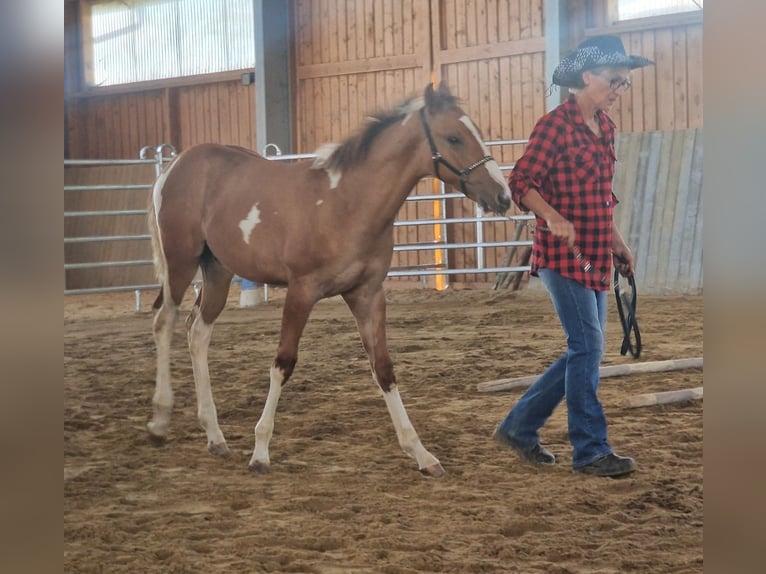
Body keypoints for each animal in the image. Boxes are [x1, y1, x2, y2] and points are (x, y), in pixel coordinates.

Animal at [146, 82, 511, 477]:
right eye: (454, 137)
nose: (503, 196)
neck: (348, 203)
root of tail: (173, 168)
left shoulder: (366, 295)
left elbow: (384, 369)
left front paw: (422, 454)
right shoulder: (301, 292)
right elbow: (283, 363)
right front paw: (260, 451)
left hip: (217, 272)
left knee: (197, 332)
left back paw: (215, 436)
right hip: (180, 264)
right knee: (164, 322)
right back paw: (159, 423)